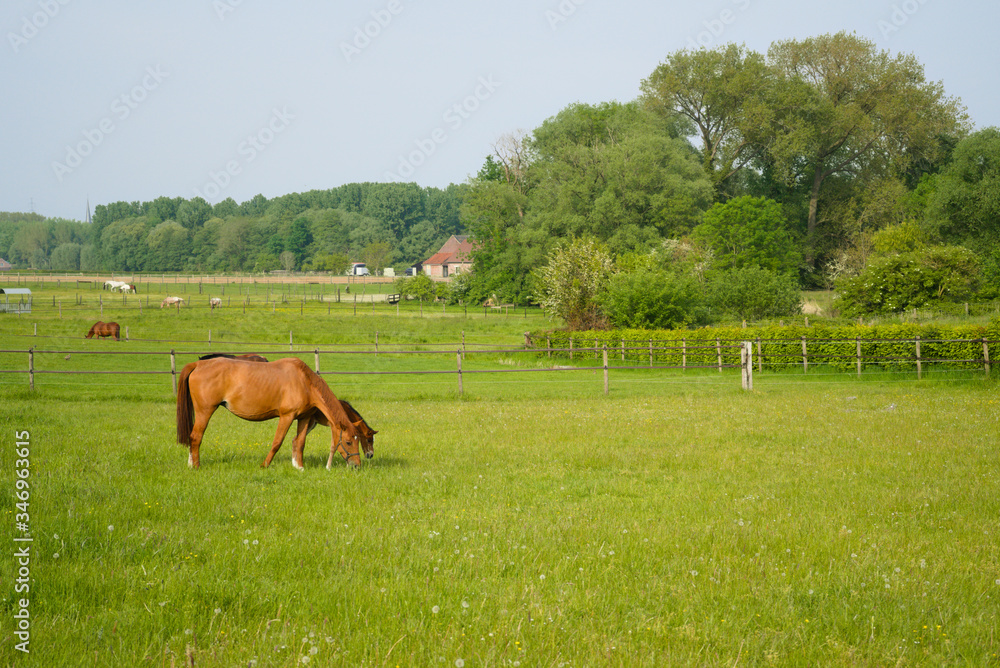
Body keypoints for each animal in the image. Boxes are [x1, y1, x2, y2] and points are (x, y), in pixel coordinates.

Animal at [176, 357, 363, 470]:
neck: (304, 381)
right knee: (196, 437)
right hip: (205, 411)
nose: (357, 465)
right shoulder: (287, 416)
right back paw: (196, 466)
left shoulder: (304, 418)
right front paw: (264, 465)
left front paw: (300, 467)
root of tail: (198, 364)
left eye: (358, 440)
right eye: (348, 442)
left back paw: (191, 464)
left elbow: (300, 442)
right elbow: (277, 442)